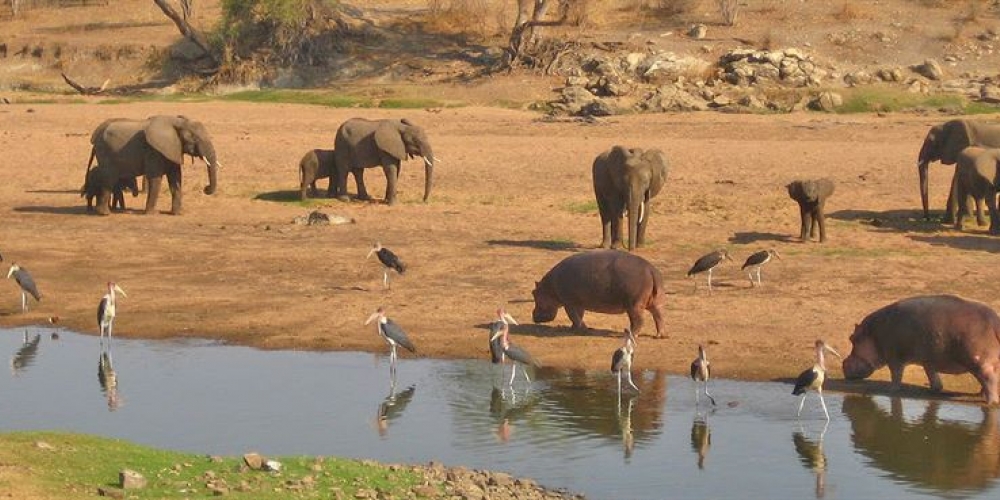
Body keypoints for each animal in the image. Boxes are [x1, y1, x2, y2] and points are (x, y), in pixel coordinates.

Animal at [89, 115, 219, 215]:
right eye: (195, 139)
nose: (206, 188)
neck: (177, 122)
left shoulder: (173, 148)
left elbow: (175, 178)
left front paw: (178, 213)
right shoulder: (154, 151)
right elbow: (156, 179)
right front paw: (152, 213)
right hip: (105, 152)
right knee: (109, 178)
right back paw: (104, 213)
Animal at [532, 252, 664, 338]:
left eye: (533, 293)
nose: (533, 316)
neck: (550, 287)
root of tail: (650, 269)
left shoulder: (569, 303)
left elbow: (574, 317)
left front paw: (580, 330)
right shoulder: (578, 303)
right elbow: (578, 316)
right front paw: (574, 329)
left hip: (633, 305)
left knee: (638, 321)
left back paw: (630, 334)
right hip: (655, 303)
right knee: (659, 317)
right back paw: (659, 335)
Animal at [844, 294, 1000, 404]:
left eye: (852, 338)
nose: (843, 363)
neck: (872, 334)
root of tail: (995, 320)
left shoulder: (894, 358)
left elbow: (896, 376)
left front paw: (890, 390)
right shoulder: (929, 359)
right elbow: (932, 375)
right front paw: (935, 389)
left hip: (981, 363)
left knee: (989, 380)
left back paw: (991, 402)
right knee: (987, 380)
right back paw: (980, 394)